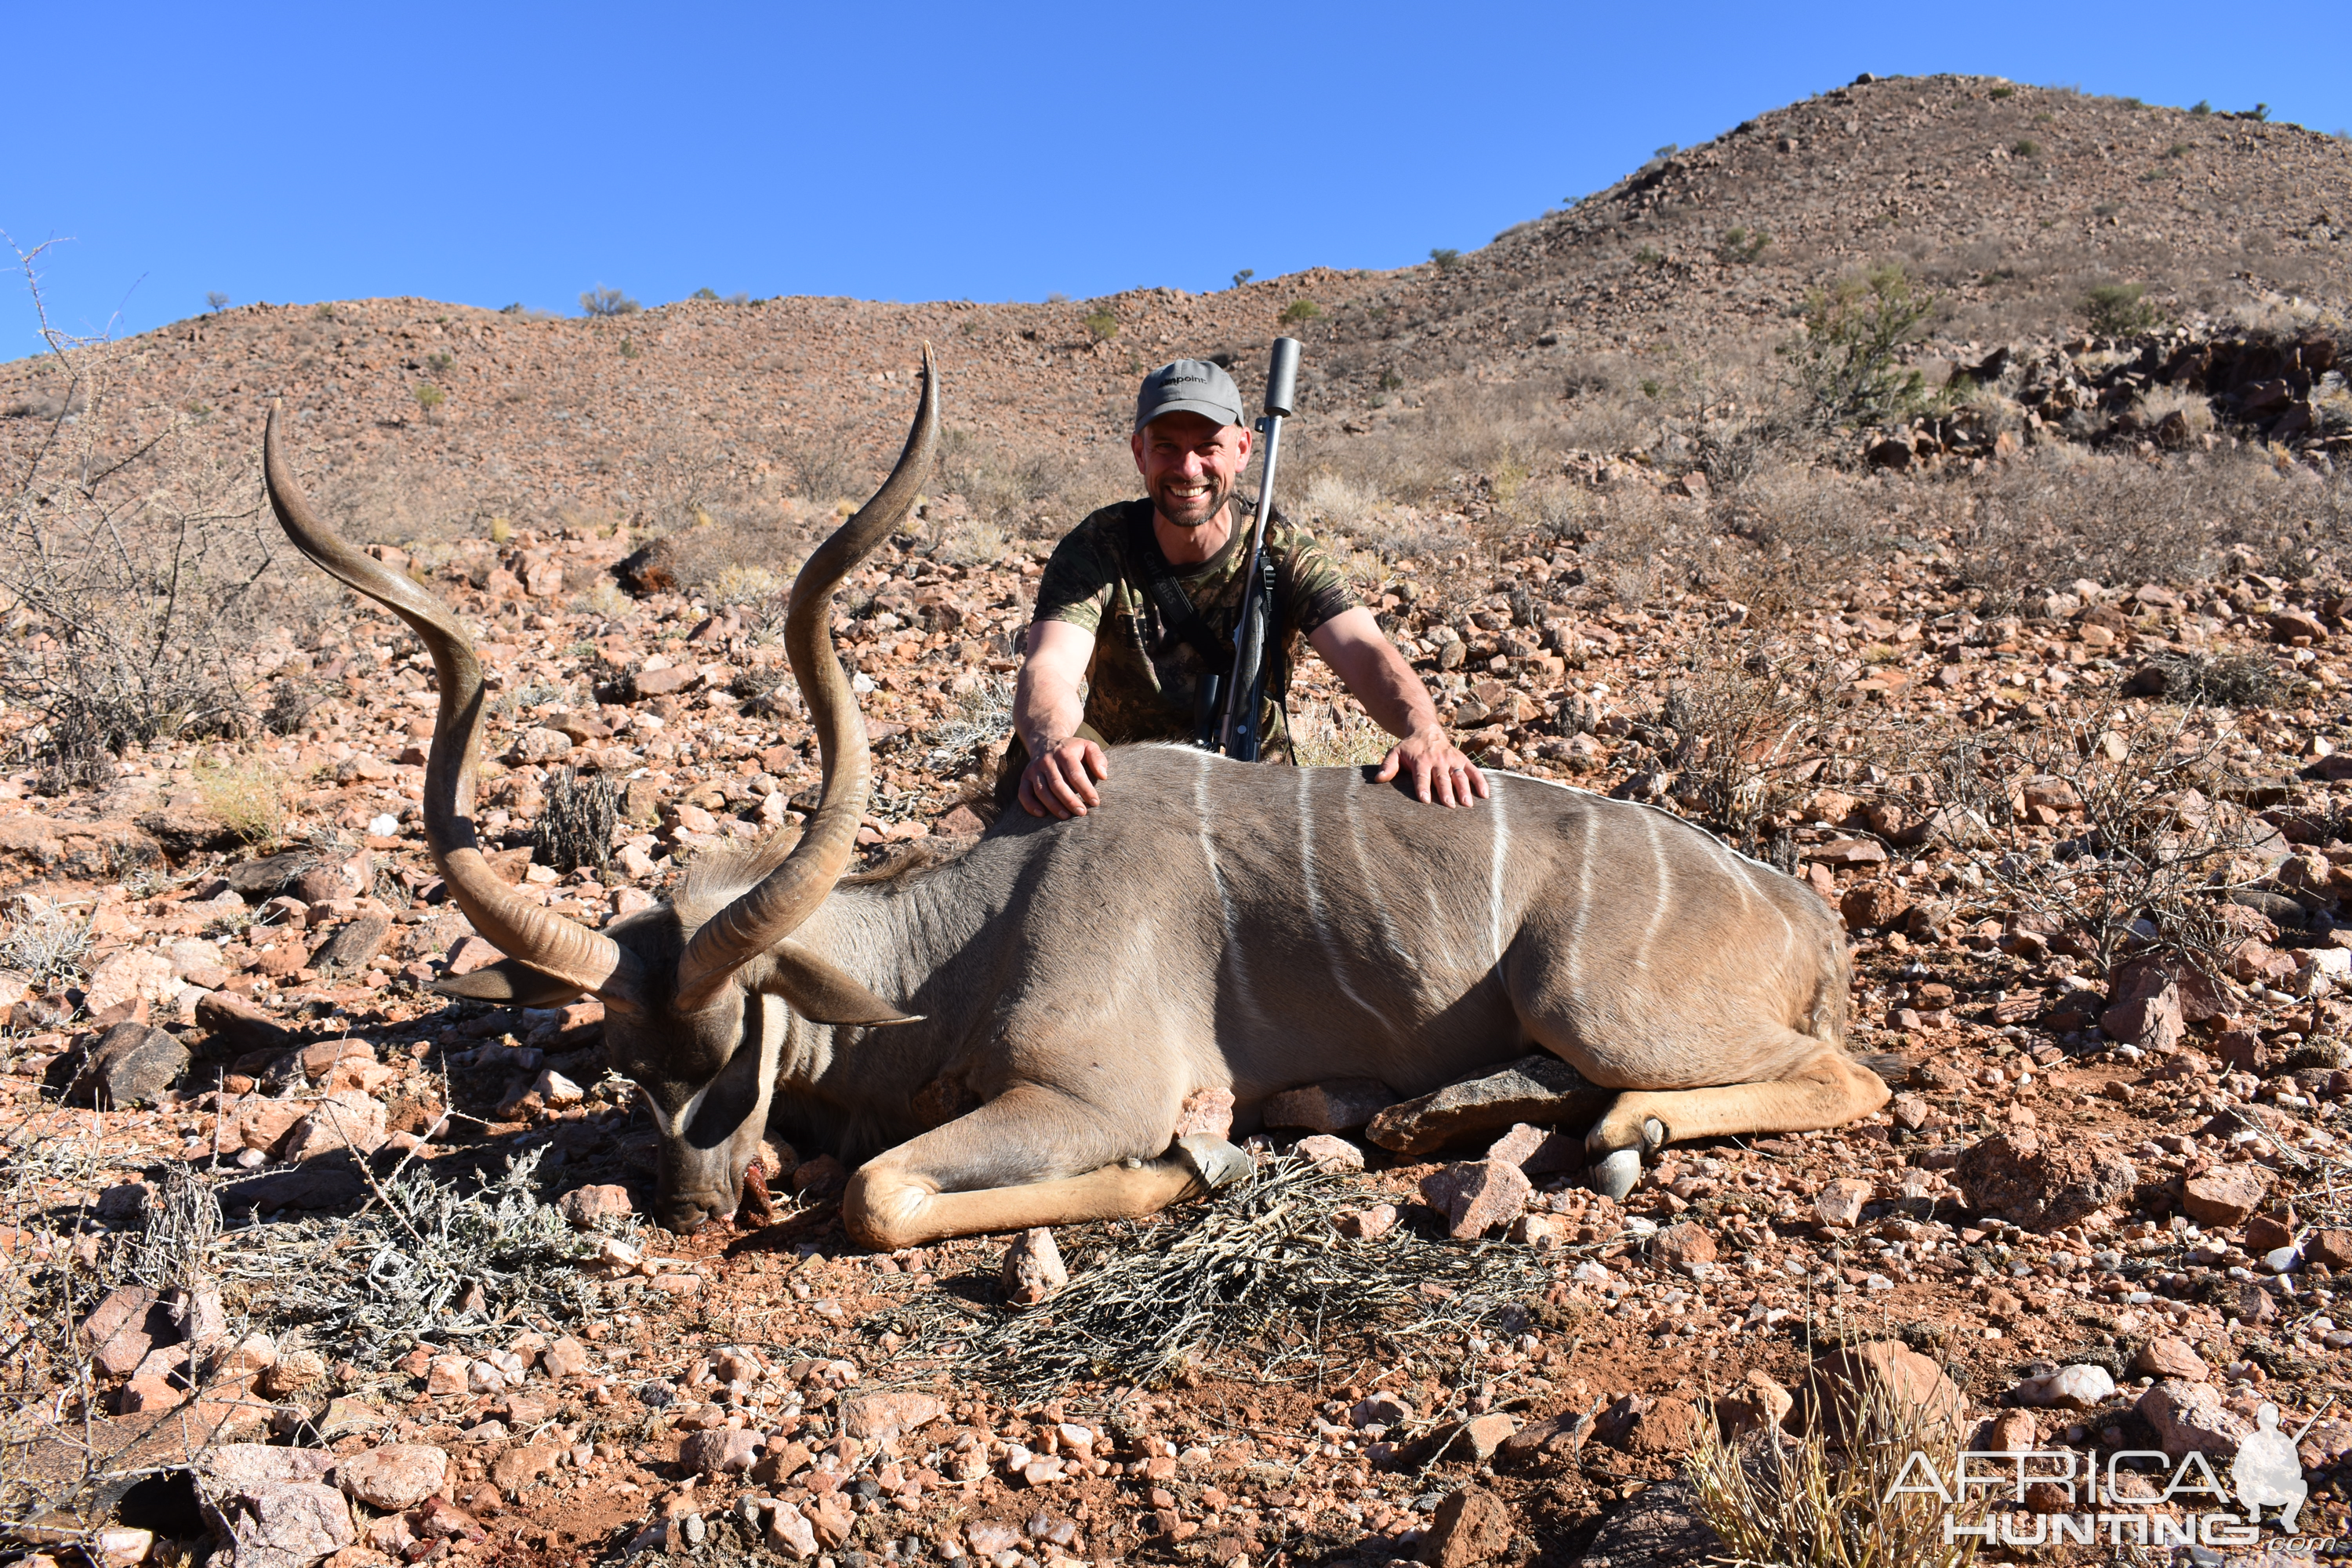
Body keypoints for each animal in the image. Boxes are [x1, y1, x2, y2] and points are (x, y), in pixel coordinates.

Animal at [257, 354, 1882, 1250]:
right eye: (623, 1065)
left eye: (740, 1050)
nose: (698, 1206)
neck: (966, 935)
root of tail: (1805, 913)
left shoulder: (1089, 1096)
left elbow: (883, 1194)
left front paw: (1189, 1170)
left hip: (1588, 998)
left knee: (1839, 1082)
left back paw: (1624, 1127)